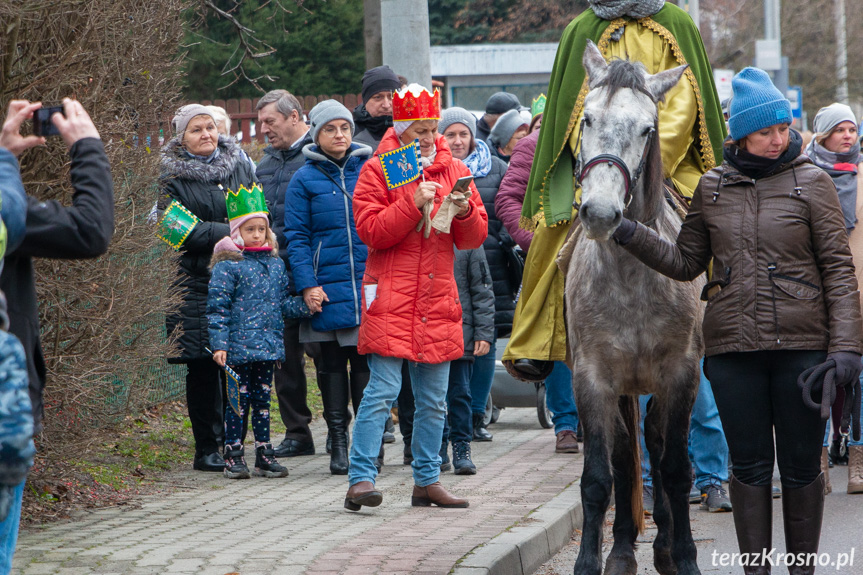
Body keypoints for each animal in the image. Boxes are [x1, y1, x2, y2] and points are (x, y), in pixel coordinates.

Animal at [564, 38, 704, 572]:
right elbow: (599, 476)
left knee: (658, 445)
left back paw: (663, 543)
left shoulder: (680, 373)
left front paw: (684, 554)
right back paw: (624, 547)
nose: (602, 214)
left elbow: (676, 467)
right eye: (586, 119)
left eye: (648, 129)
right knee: (627, 454)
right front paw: (592, 560)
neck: (632, 275)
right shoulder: (593, 378)